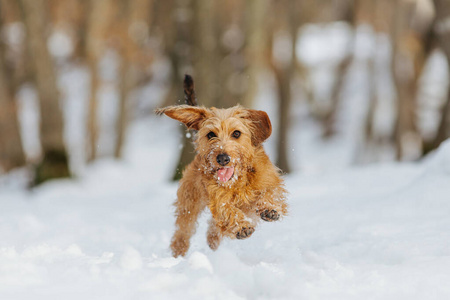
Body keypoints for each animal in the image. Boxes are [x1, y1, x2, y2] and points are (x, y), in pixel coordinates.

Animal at [156, 82, 286, 258]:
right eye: (211, 134)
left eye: (236, 133)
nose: (222, 158)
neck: (239, 181)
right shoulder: (217, 198)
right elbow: (226, 210)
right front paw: (241, 226)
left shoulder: (269, 179)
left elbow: (270, 192)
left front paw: (269, 208)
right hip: (188, 204)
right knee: (183, 231)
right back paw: (178, 255)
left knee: (213, 226)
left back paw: (212, 239)